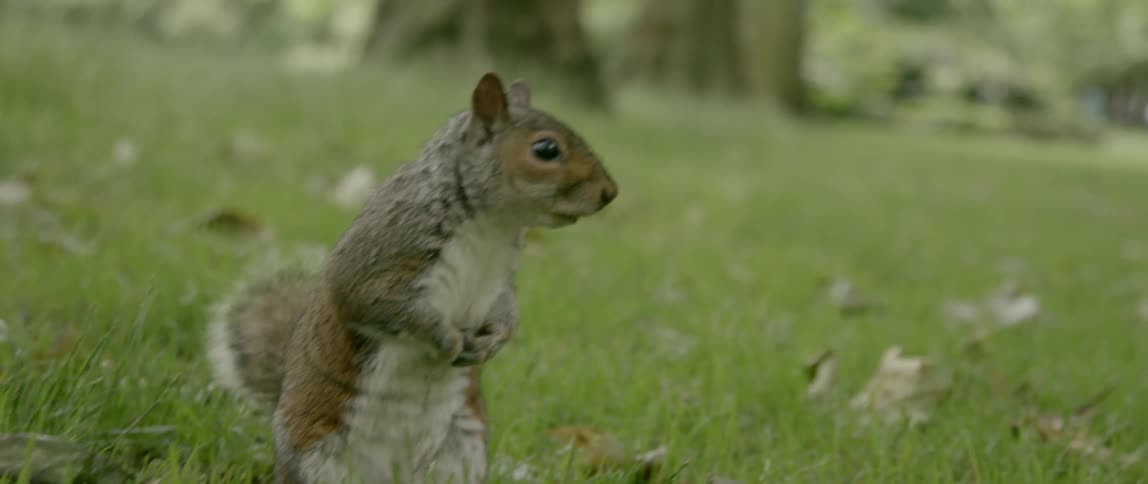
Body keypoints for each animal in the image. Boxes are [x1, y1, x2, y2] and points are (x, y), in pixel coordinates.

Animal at [205, 72, 618, 484]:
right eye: (546, 149)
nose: (609, 193)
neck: (493, 226)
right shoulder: (381, 256)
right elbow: (379, 303)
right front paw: (447, 338)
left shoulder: (500, 278)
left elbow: (506, 310)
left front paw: (494, 341)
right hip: (316, 457)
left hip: (462, 450)